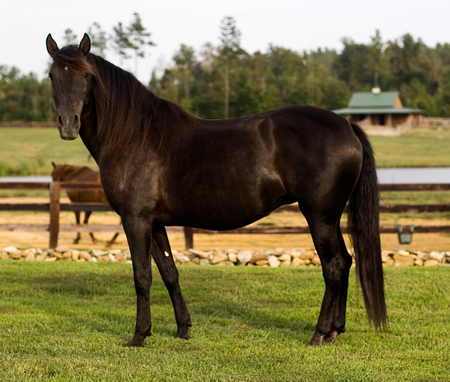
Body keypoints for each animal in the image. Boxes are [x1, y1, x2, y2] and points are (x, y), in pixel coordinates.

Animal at [45, 34, 384, 348]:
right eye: (52, 75)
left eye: (86, 76)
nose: (68, 125)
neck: (134, 136)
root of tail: (347, 125)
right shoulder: (155, 223)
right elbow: (169, 272)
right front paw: (182, 329)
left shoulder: (135, 219)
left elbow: (142, 276)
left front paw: (139, 335)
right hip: (330, 216)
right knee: (346, 260)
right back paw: (335, 331)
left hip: (319, 216)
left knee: (334, 266)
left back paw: (319, 334)